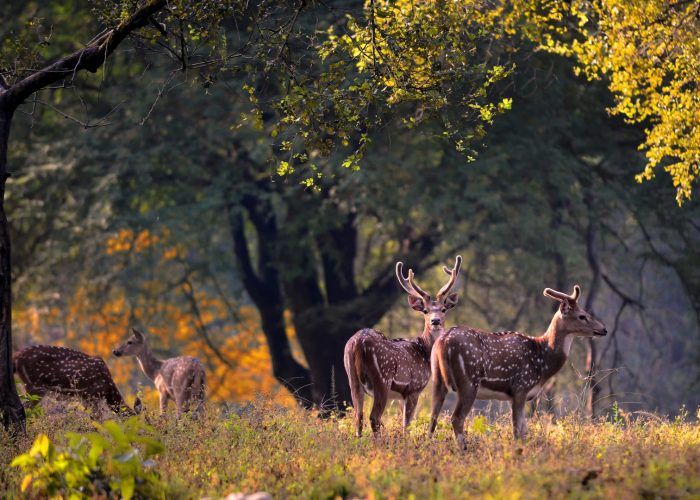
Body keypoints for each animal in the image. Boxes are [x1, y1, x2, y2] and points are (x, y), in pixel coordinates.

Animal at [13, 344, 141, 418]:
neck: (107, 390)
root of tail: (17, 356)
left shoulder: (85, 397)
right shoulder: (91, 395)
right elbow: (97, 419)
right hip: (36, 385)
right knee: (24, 407)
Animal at [344, 256, 462, 436]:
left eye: (443, 309)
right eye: (425, 311)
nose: (435, 321)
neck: (424, 352)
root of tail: (358, 343)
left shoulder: (401, 396)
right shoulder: (414, 388)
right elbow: (407, 424)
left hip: (352, 378)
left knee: (358, 416)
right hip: (382, 379)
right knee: (374, 417)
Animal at [430, 284, 604, 448]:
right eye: (582, 316)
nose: (603, 329)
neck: (543, 361)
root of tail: (443, 342)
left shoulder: (512, 395)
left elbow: (524, 430)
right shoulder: (521, 386)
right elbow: (517, 431)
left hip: (437, 379)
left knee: (433, 416)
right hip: (468, 381)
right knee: (456, 418)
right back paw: (463, 449)